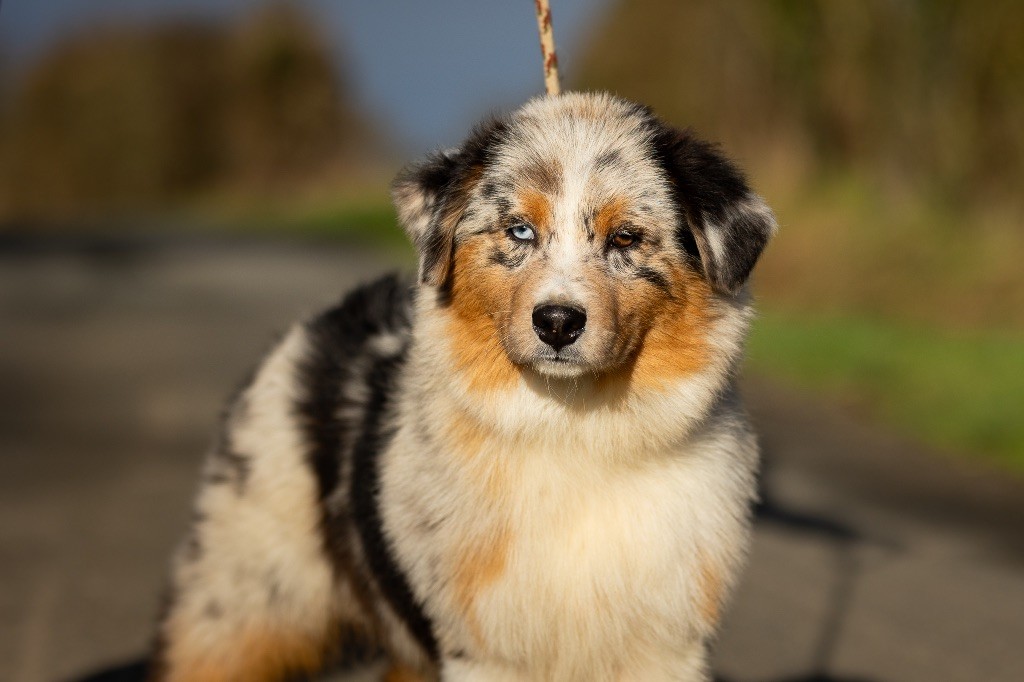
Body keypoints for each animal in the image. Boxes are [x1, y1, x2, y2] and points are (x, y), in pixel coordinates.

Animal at [149, 91, 774, 679]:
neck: (573, 427)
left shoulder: (665, 644)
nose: (557, 322)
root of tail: (335, 310)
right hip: (245, 601)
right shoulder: (485, 647)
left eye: (625, 238)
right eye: (519, 230)